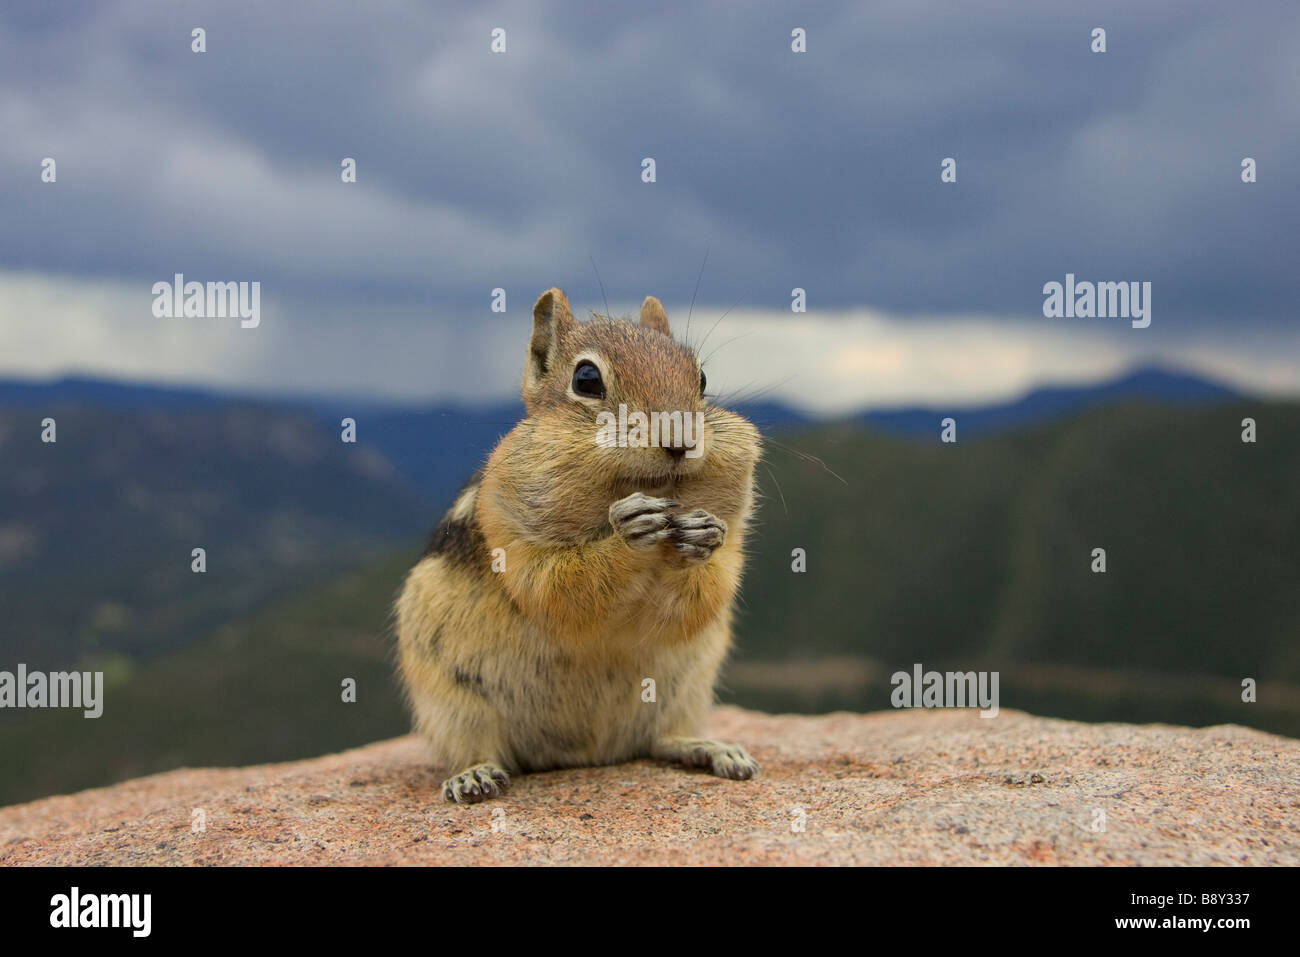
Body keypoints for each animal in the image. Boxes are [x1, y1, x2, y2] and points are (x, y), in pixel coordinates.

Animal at [395, 287, 759, 806]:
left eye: (702, 378)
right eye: (586, 379)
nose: (680, 440)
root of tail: (586, 756)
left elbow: (702, 594)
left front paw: (700, 536)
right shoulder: (514, 542)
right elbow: (560, 587)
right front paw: (630, 534)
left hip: (687, 691)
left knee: (659, 740)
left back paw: (710, 749)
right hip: (450, 704)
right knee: (477, 746)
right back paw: (473, 776)